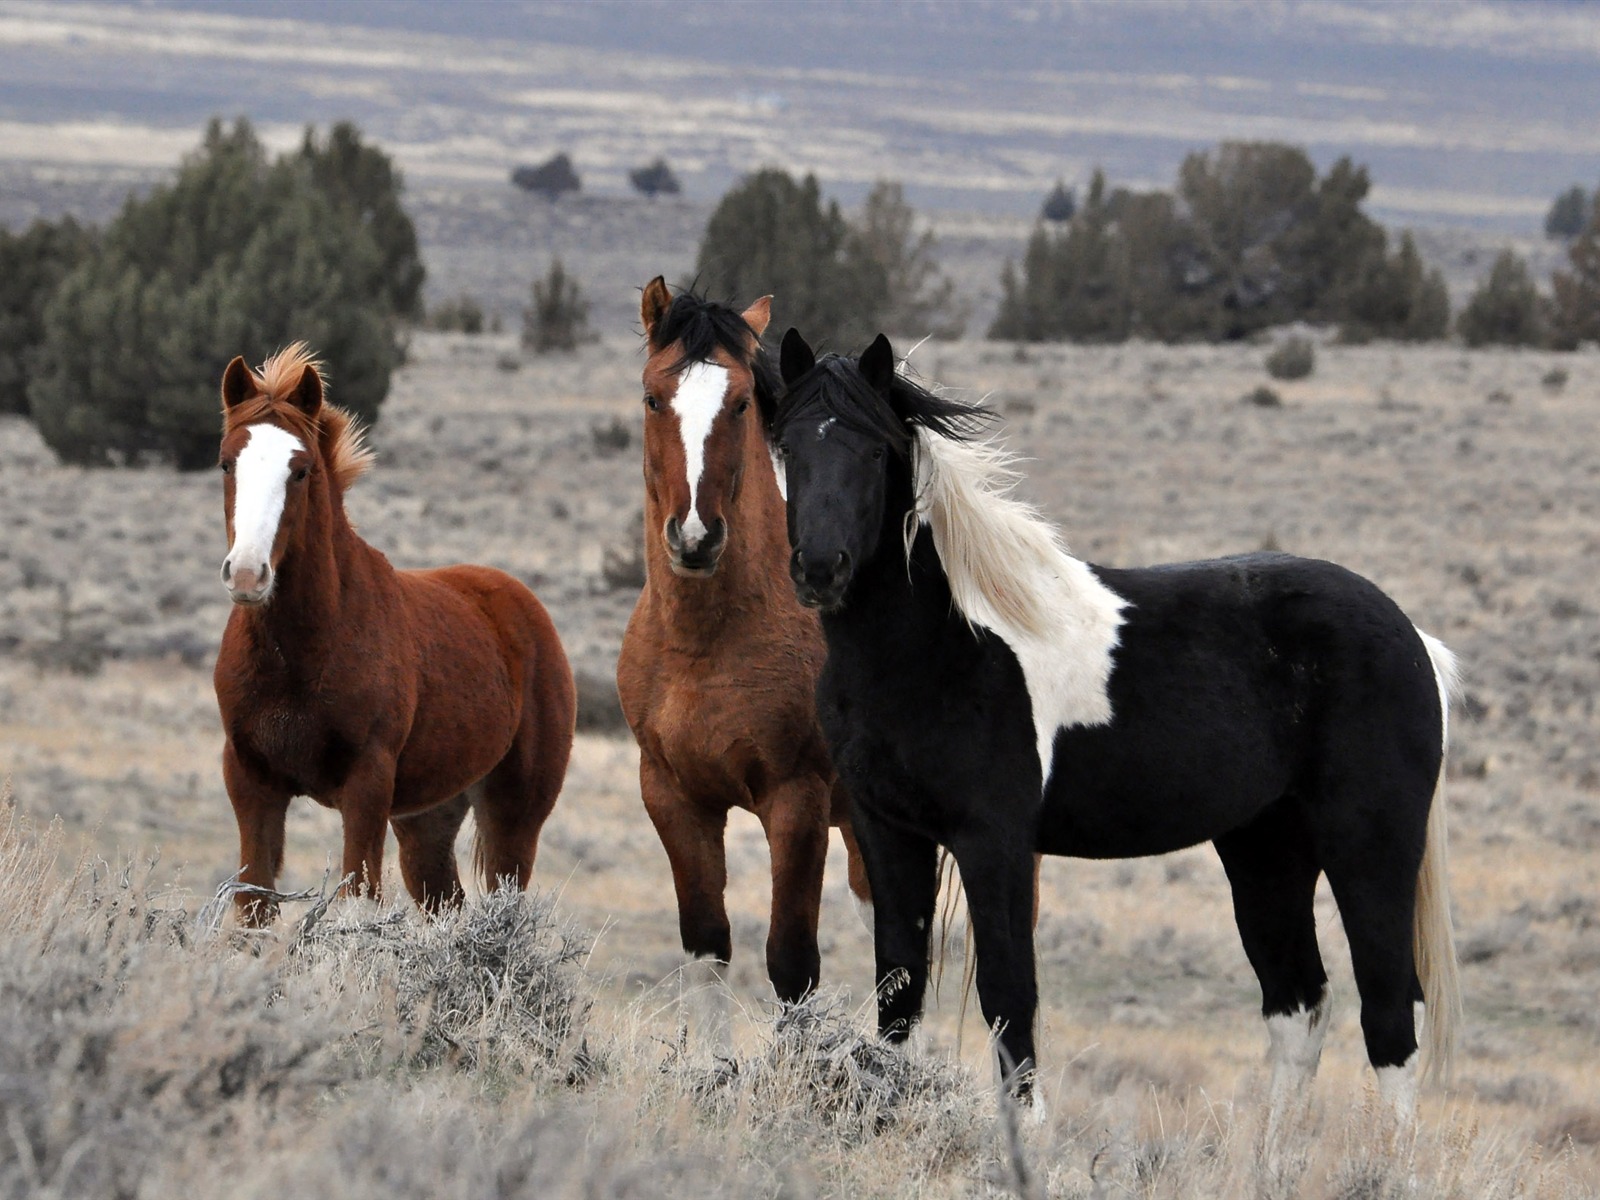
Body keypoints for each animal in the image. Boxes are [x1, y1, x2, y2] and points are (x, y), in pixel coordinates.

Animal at [212, 342, 576, 928]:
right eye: (227, 463)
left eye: (301, 470)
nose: (247, 575)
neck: (299, 654)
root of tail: (523, 605)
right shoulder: (252, 782)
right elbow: (252, 906)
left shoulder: (367, 786)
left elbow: (357, 900)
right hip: (426, 820)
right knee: (446, 902)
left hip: (513, 815)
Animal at [614, 281, 870, 1004]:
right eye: (652, 397)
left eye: (740, 402)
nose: (696, 536)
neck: (704, 647)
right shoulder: (676, 800)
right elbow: (707, 950)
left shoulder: (796, 802)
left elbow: (792, 966)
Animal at [774, 326, 1465, 1120]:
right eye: (787, 445)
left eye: (871, 449)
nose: (820, 567)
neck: (942, 644)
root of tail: (1412, 639)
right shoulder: (888, 833)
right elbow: (899, 996)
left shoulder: (993, 842)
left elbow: (1011, 1003)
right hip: (1267, 848)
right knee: (1299, 1007)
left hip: (1369, 847)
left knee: (1390, 1018)